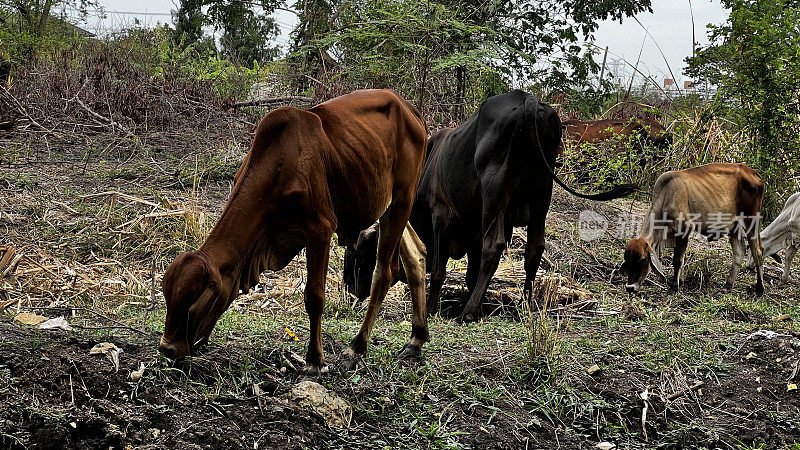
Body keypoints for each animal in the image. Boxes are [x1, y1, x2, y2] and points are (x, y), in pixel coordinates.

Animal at [159, 89, 428, 376]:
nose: (167, 349)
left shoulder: (320, 229)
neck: (278, 166)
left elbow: (314, 297)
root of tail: (409, 108)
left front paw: (314, 360)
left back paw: (356, 348)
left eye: (194, 300)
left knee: (385, 271)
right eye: (167, 296)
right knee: (416, 255)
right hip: (388, 205)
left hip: (402, 198)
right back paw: (416, 339)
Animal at [344, 89, 636, 322]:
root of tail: (529, 100)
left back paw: (470, 313)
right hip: (541, 194)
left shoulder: (442, 217)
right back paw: (524, 305)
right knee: (534, 249)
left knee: (493, 247)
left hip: (494, 193)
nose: (349, 289)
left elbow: (439, 270)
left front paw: (434, 309)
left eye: (360, 254)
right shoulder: (472, 229)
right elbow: (471, 273)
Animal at [620, 163, 764, 298]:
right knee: (739, 253)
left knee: (758, 251)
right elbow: (681, 258)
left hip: (751, 221)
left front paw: (674, 287)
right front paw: (680, 281)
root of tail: (753, 172)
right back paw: (726, 288)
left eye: (642, 259)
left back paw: (760, 289)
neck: (667, 194)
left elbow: (677, 260)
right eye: (627, 259)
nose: (630, 287)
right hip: (734, 226)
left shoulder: (684, 229)